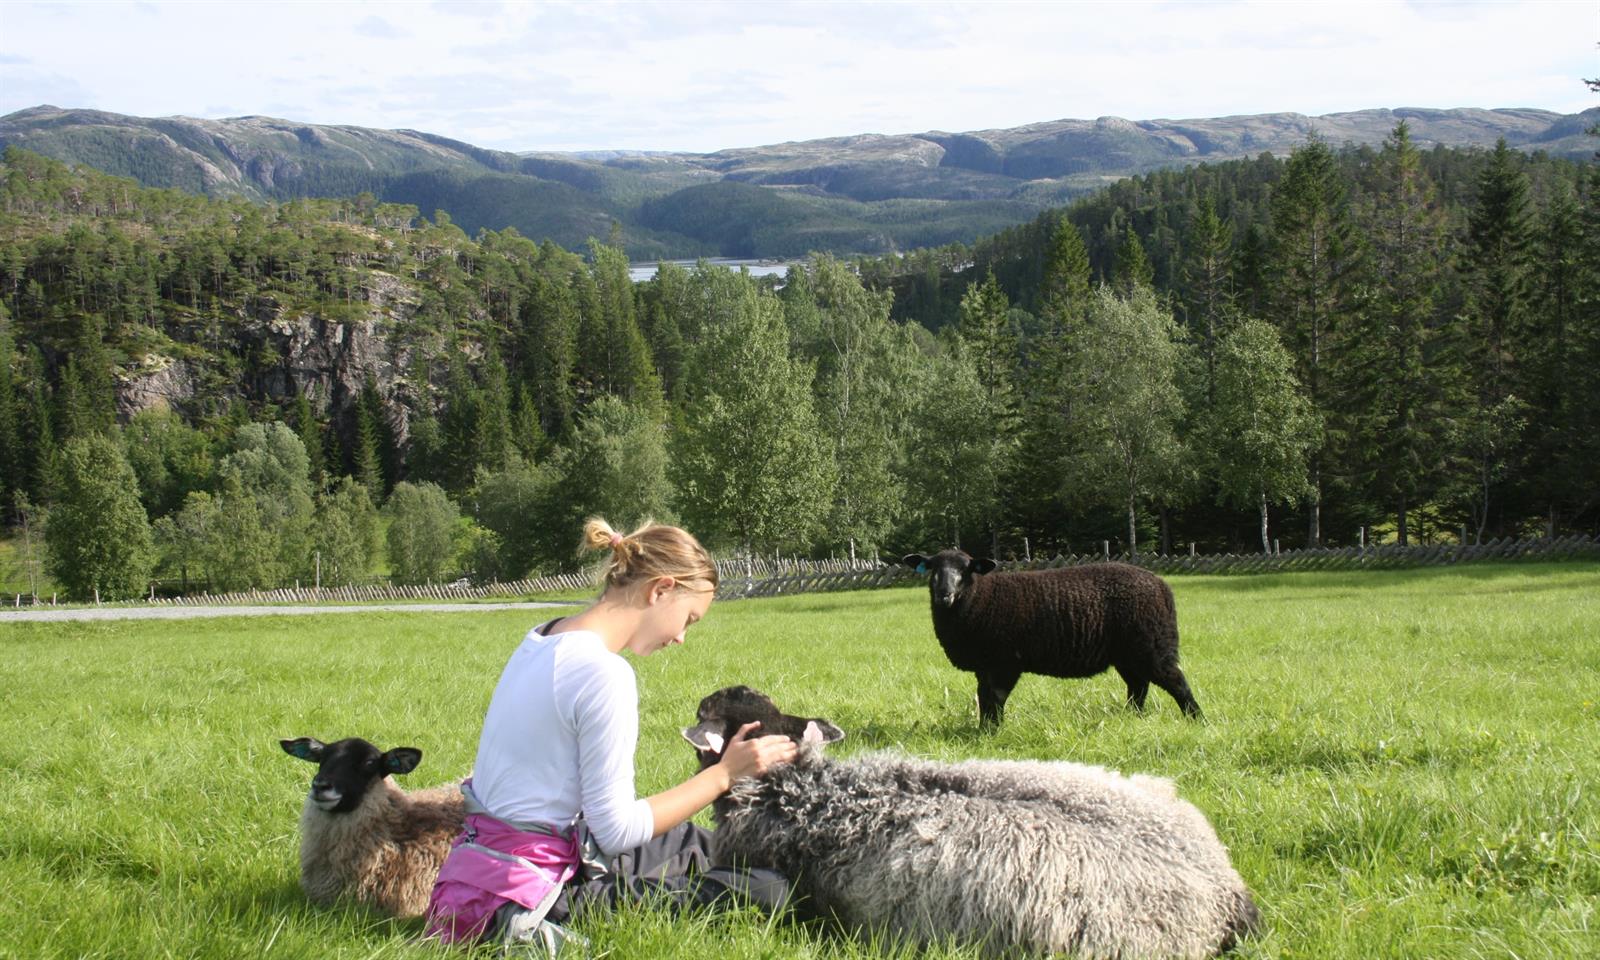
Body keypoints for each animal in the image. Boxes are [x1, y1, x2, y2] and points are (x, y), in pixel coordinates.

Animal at [902, 547, 1203, 726]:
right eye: (932, 568)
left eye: (966, 569)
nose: (944, 594)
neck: (980, 598)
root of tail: (1161, 585)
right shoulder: (985, 664)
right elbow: (983, 697)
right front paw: (984, 728)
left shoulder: (1004, 662)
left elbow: (995, 698)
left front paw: (992, 732)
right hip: (1128, 654)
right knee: (1138, 686)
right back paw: (1132, 718)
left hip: (1153, 645)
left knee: (1176, 682)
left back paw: (1197, 720)